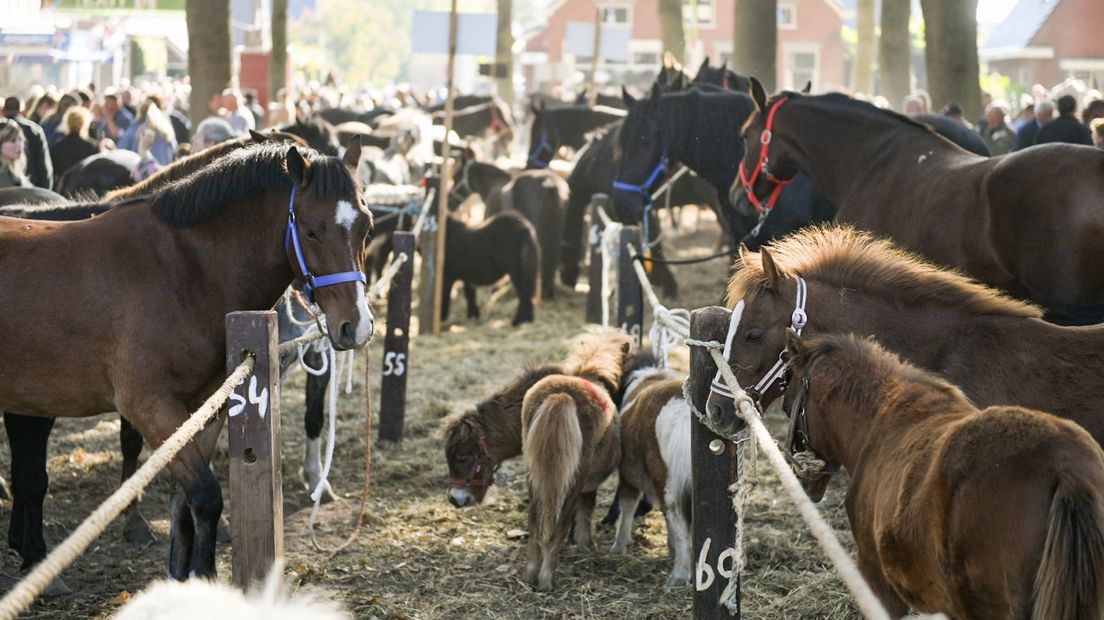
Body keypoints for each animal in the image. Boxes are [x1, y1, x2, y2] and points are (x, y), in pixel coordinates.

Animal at [0, 137, 373, 578]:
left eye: (366, 226)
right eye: (311, 230)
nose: (356, 325)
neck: (182, 272)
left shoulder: (203, 408)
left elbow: (185, 503)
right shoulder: (150, 407)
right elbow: (207, 496)